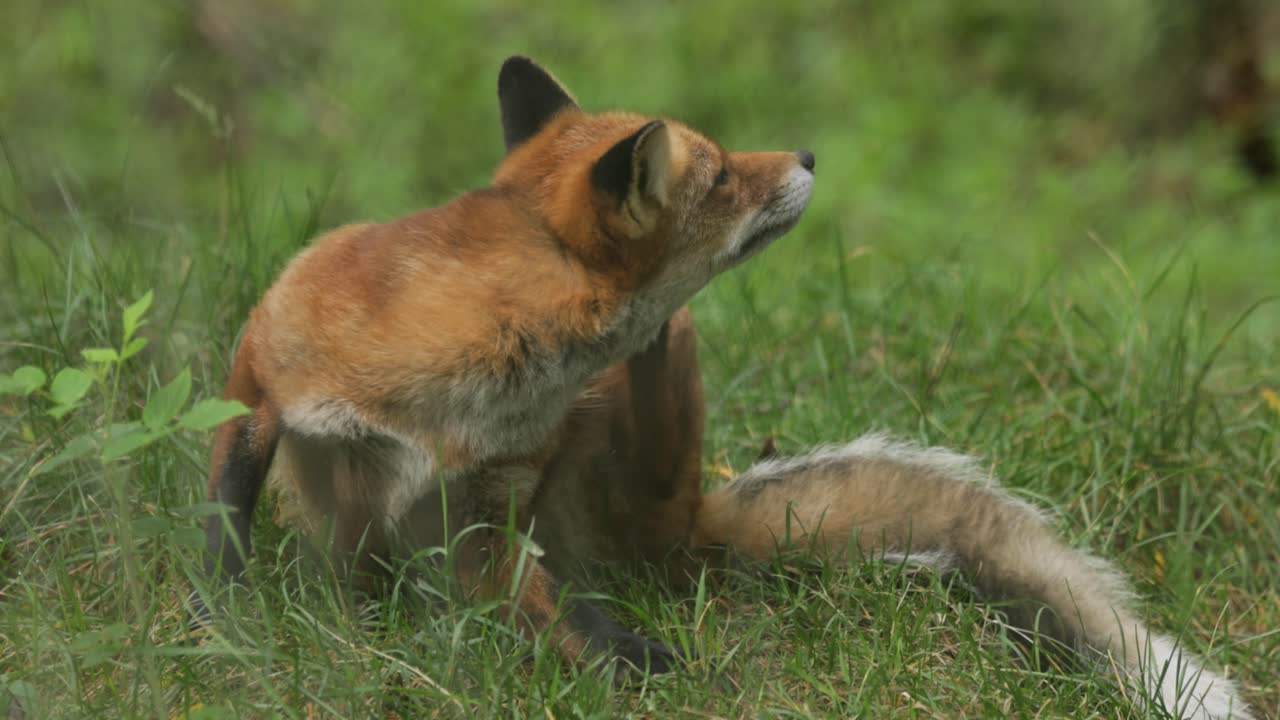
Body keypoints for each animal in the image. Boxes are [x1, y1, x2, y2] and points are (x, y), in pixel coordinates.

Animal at [201, 57, 1253, 719]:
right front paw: (219, 626)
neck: (483, 383)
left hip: (643, 431)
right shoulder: (262, 373)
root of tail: (683, 527)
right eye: (718, 179)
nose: (810, 157)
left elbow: (573, 625)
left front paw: (656, 675)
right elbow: (224, 527)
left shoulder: (489, 510)